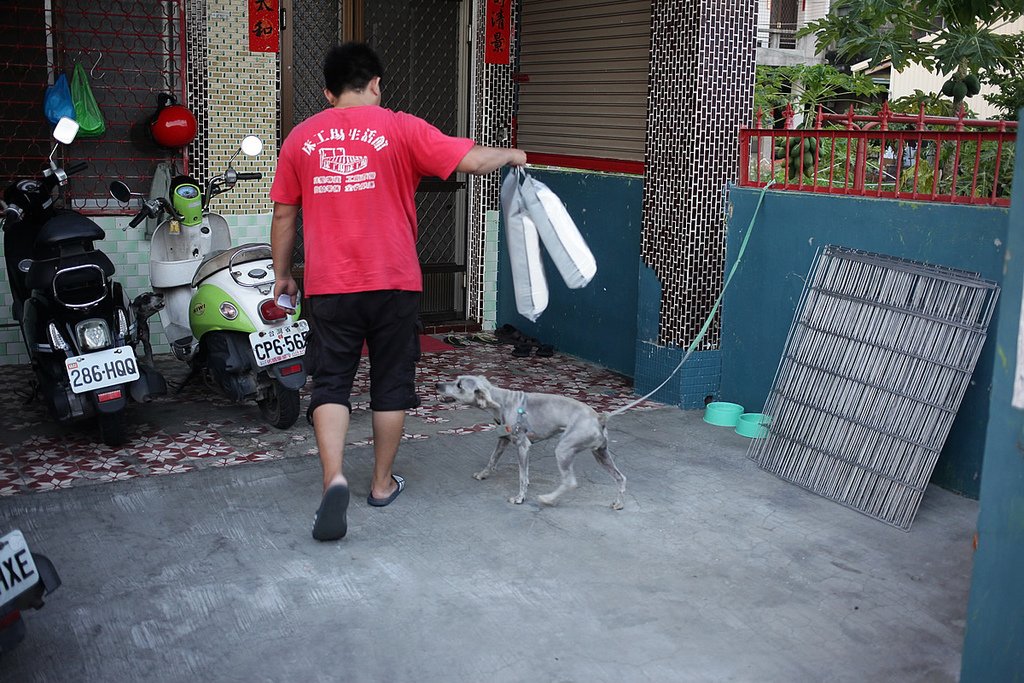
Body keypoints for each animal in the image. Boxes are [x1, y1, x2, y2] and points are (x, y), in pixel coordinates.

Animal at [432, 376, 622, 509]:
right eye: (456, 379)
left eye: (459, 385)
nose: (437, 385)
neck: (501, 402)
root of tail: (599, 417)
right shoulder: (503, 440)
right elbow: (493, 459)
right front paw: (483, 474)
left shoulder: (522, 446)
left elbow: (522, 476)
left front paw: (520, 498)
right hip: (601, 454)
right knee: (621, 477)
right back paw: (618, 503)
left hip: (563, 450)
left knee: (570, 482)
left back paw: (548, 499)